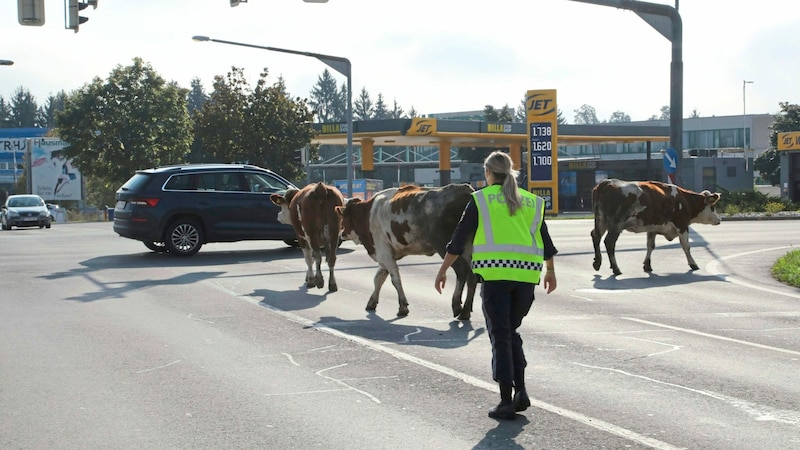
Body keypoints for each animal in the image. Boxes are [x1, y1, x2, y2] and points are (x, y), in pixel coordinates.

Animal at [336, 184, 478, 320]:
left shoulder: (384, 252)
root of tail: (464, 190)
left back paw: (457, 305)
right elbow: (378, 278)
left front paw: (403, 307)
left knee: (462, 271)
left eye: (343, 218)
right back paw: (466, 311)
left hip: (446, 245)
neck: (368, 213)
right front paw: (372, 302)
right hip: (468, 248)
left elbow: (395, 279)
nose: (340, 234)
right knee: (472, 276)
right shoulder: (383, 255)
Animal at [592, 178, 720, 274]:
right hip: (616, 225)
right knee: (609, 242)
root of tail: (606, 183)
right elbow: (686, 246)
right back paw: (616, 268)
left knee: (595, 236)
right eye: (713, 206)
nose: (719, 219)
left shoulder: (652, 228)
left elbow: (650, 246)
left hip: (601, 221)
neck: (685, 200)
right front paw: (693, 264)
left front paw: (647, 265)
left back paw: (597, 262)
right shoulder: (682, 225)